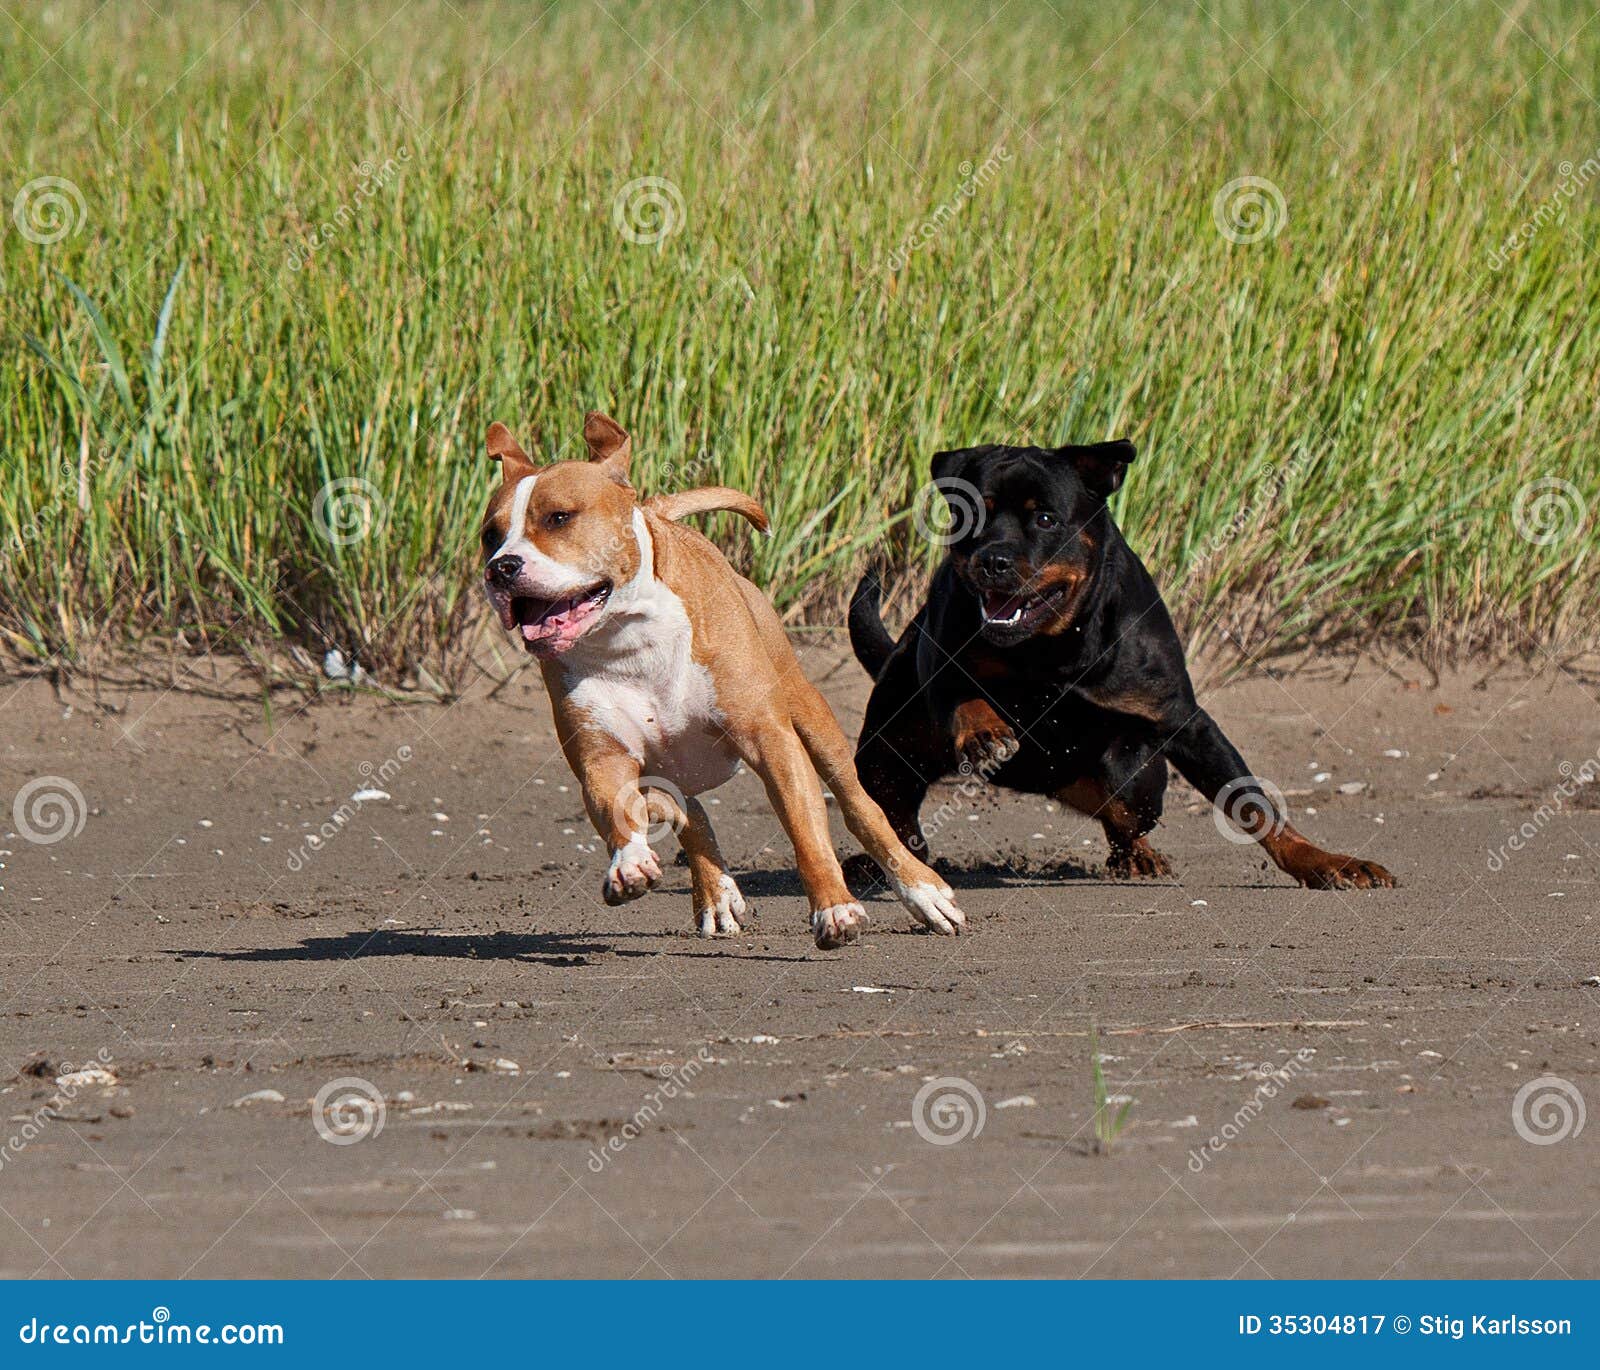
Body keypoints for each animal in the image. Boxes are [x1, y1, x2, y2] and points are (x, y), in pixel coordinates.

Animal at [480, 416, 966, 953]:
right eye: (489, 536)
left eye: (559, 518)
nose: (501, 568)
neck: (627, 637)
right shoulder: (601, 758)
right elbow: (620, 808)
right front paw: (630, 864)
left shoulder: (771, 742)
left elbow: (804, 828)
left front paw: (835, 908)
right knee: (687, 811)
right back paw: (713, 891)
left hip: (812, 719)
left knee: (861, 807)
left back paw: (922, 891)